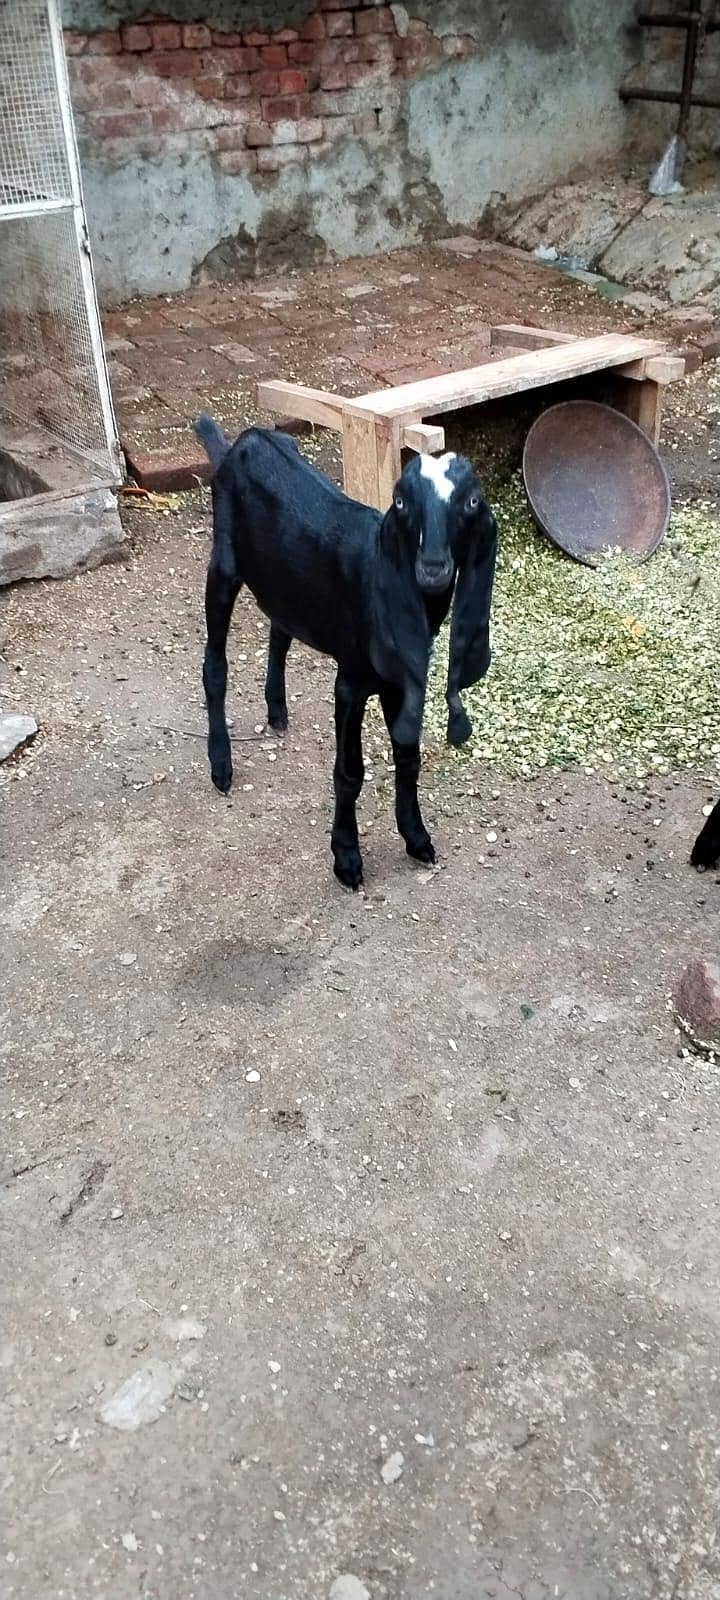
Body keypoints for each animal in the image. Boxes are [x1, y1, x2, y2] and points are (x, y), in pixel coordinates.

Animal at [195, 416, 497, 888]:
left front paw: (416, 837)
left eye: (470, 501)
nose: (432, 566)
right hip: (224, 564)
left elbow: (408, 757)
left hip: (283, 579)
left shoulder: (399, 682)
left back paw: (276, 709)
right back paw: (221, 765)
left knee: (280, 629)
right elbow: (349, 772)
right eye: (400, 502)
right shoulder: (351, 684)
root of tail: (245, 440)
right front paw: (347, 857)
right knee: (214, 664)